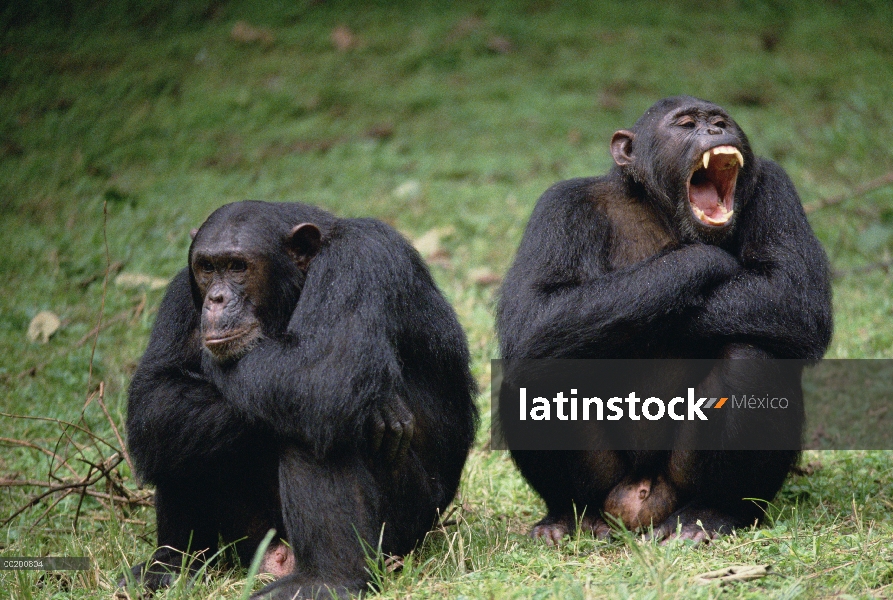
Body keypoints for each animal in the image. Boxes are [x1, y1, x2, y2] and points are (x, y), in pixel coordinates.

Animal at [123, 202, 480, 600]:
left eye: (238, 267)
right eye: (207, 268)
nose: (216, 299)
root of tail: (278, 558)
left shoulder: (361, 258)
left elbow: (325, 372)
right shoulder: (179, 294)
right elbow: (154, 398)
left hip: (405, 528)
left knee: (318, 419)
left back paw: (327, 579)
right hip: (249, 539)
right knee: (173, 431)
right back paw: (169, 566)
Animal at [498, 97, 832, 544]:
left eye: (721, 121)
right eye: (687, 124)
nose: (714, 131)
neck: (660, 210)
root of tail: (642, 496)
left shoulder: (777, 188)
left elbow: (795, 296)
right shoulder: (559, 206)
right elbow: (533, 313)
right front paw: (703, 258)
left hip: (681, 479)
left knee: (750, 357)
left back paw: (711, 513)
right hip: (607, 482)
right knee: (538, 368)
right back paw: (567, 515)